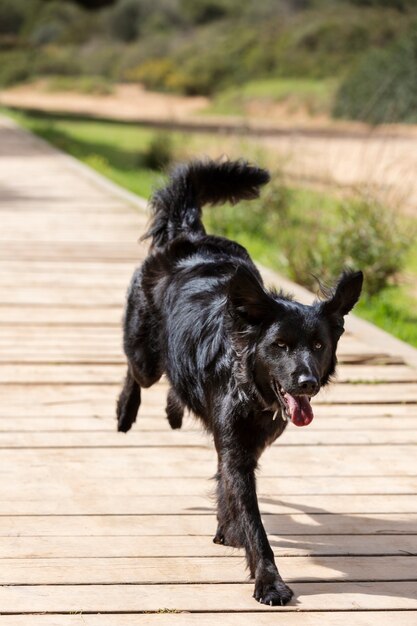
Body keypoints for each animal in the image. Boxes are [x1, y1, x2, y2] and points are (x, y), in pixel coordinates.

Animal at [115, 160, 362, 604]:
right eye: (280, 345)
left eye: (318, 344)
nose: (307, 382)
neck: (249, 387)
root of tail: (191, 234)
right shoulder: (238, 450)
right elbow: (253, 521)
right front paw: (270, 581)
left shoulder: (244, 447)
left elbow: (227, 488)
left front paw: (226, 529)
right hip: (145, 355)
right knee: (136, 371)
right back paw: (126, 411)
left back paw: (174, 410)